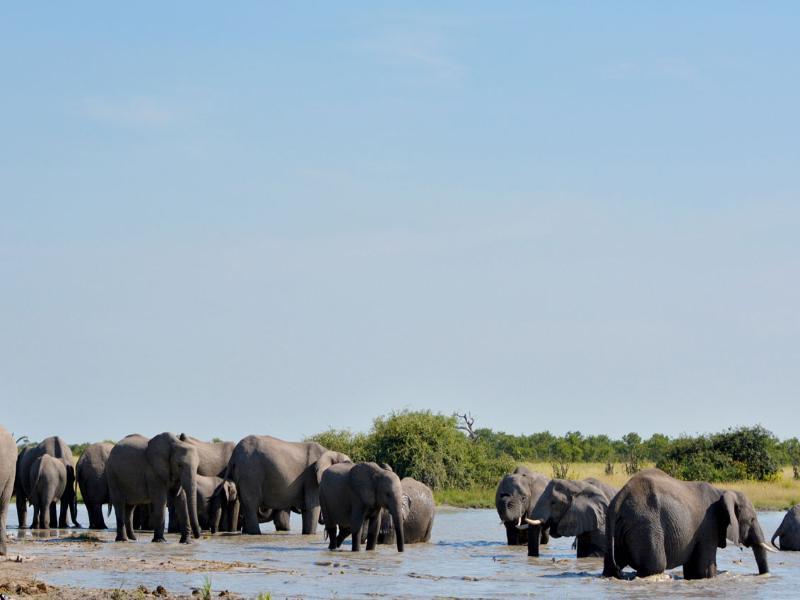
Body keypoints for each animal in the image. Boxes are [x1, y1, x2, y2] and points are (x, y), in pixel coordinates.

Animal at [600, 466, 776, 580]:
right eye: (752, 519)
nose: (763, 576)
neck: (723, 491)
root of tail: (620, 498)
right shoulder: (708, 525)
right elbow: (704, 570)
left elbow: (692, 570)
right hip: (645, 524)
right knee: (654, 566)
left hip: (616, 528)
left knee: (611, 566)